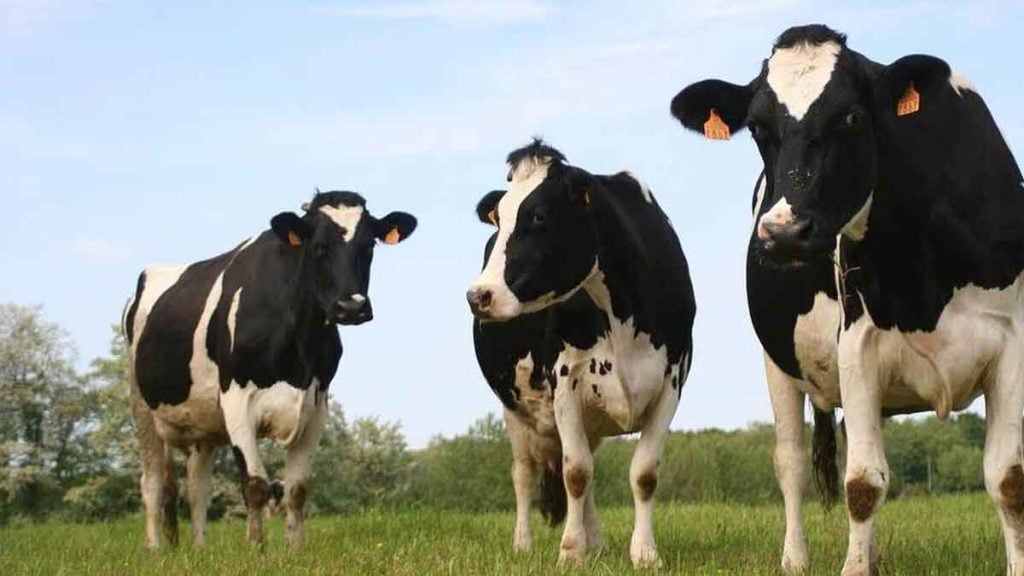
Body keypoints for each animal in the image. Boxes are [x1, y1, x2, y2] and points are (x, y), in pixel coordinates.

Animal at [123, 190, 416, 550]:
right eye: (318, 246)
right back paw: (154, 547)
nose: (352, 307)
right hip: (141, 405)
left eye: (369, 246)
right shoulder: (236, 401)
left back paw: (200, 548)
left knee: (196, 486)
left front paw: (295, 549)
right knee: (152, 482)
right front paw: (256, 548)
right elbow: (255, 485)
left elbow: (297, 489)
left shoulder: (316, 405)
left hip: (202, 423)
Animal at [467, 139, 696, 567]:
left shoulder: (671, 382)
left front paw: (644, 553)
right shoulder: (565, 384)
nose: (479, 296)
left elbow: (643, 474)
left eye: (538, 216)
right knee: (524, 473)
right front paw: (571, 552)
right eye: (499, 218)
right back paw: (524, 543)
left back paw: (597, 541)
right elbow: (575, 473)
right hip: (514, 409)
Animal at [671, 24, 1024, 575]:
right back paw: (795, 560)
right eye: (757, 128)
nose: (784, 231)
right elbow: (861, 484)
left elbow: (1007, 479)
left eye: (853, 115)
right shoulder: (858, 344)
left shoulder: (1012, 343)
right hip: (777, 361)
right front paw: (853, 566)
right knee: (791, 463)